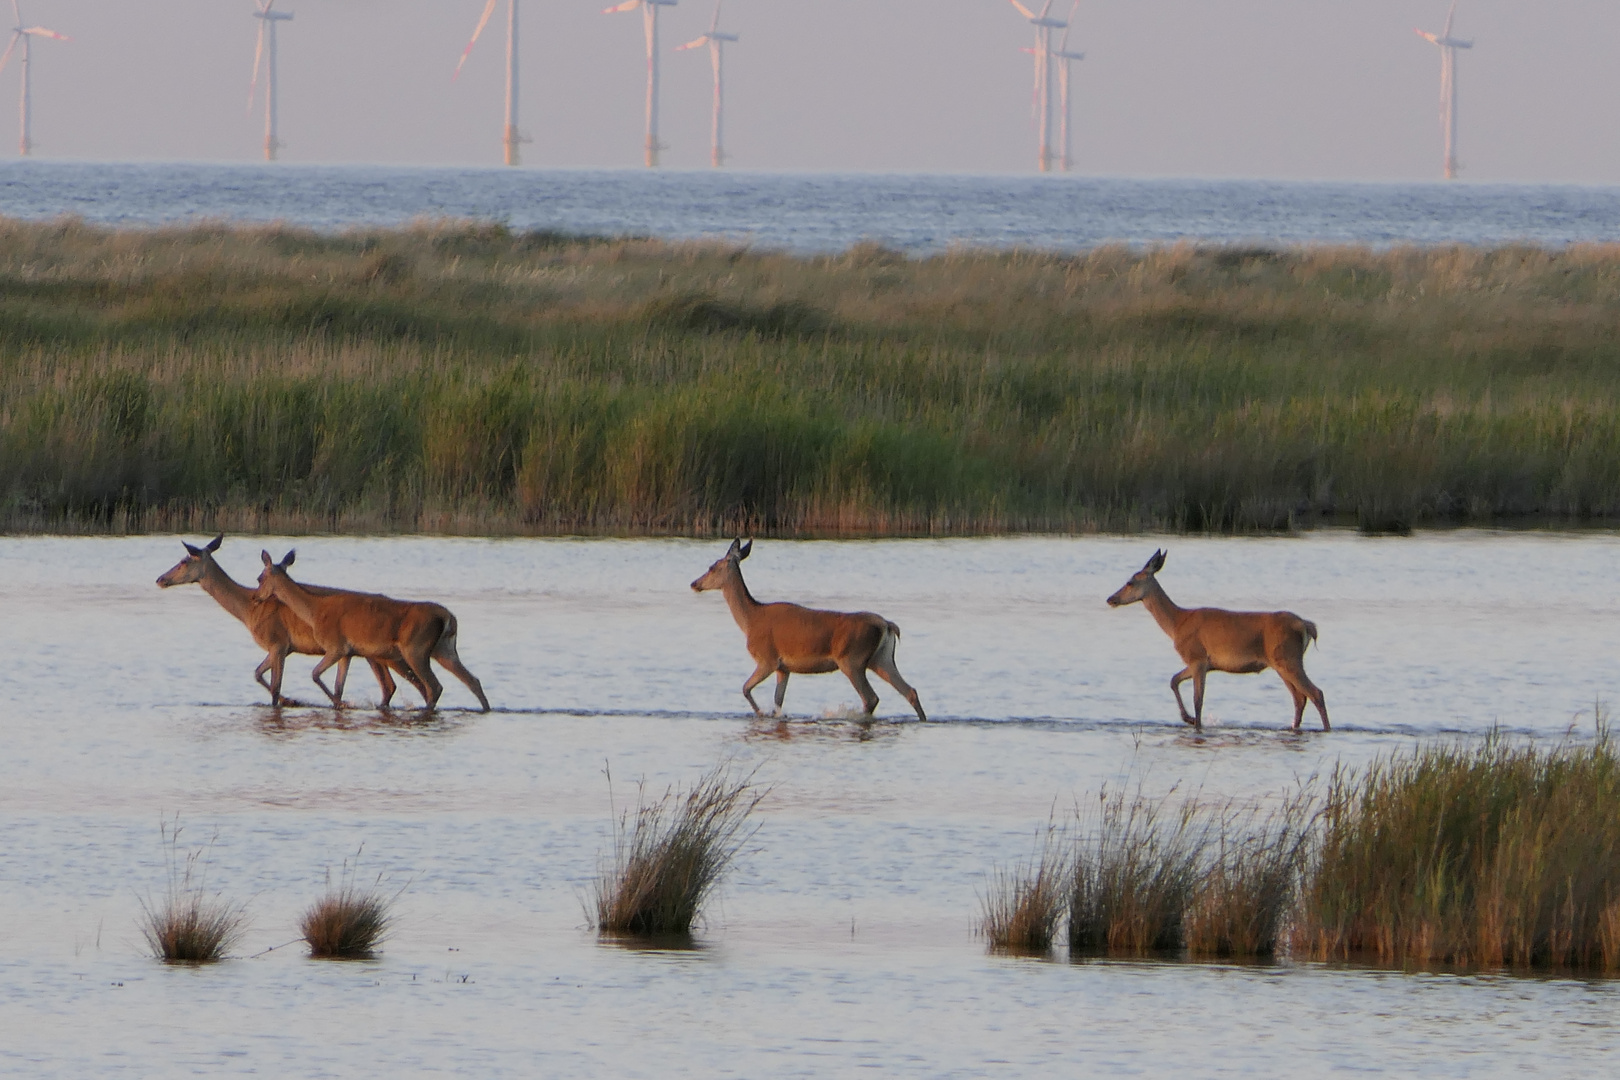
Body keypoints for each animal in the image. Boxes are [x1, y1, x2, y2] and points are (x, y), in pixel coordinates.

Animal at [156, 534, 424, 709]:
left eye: (184, 560)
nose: (160, 579)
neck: (248, 611)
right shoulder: (285, 647)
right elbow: (257, 673)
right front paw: (292, 699)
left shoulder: (278, 642)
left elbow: (275, 687)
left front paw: (287, 701)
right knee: (393, 687)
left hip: (389, 654)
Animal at [249, 550, 489, 718]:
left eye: (259, 578)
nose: (255, 598)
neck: (315, 610)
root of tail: (448, 617)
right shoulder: (347, 653)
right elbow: (338, 686)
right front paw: (340, 704)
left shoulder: (336, 646)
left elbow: (315, 675)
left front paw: (344, 703)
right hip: (445, 649)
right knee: (473, 680)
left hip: (416, 648)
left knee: (433, 686)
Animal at [690, 540, 933, 725]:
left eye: (712, 567)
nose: (694, 583)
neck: (750, 620)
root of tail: (887, 625)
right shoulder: (783, 668)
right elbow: (778, 701)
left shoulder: (767, 659)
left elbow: (745, 689)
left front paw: (760, 713)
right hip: (881, 659)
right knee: (909, 691)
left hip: (852, 659)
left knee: (871, 698)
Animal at [1108, 550, 1334, 735]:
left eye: (1130, 582)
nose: (1111, 599)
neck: (1176, 624)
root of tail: (1306, 625)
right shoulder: (1204, 663)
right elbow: (1173, 680)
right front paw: (1188, 719)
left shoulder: (1197, 657)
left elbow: (1198, 700)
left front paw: (1195, 723)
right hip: (1280, 663)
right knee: (1299, 698)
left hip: (1287, 658)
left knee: (1316, 693)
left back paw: (1326, 729)